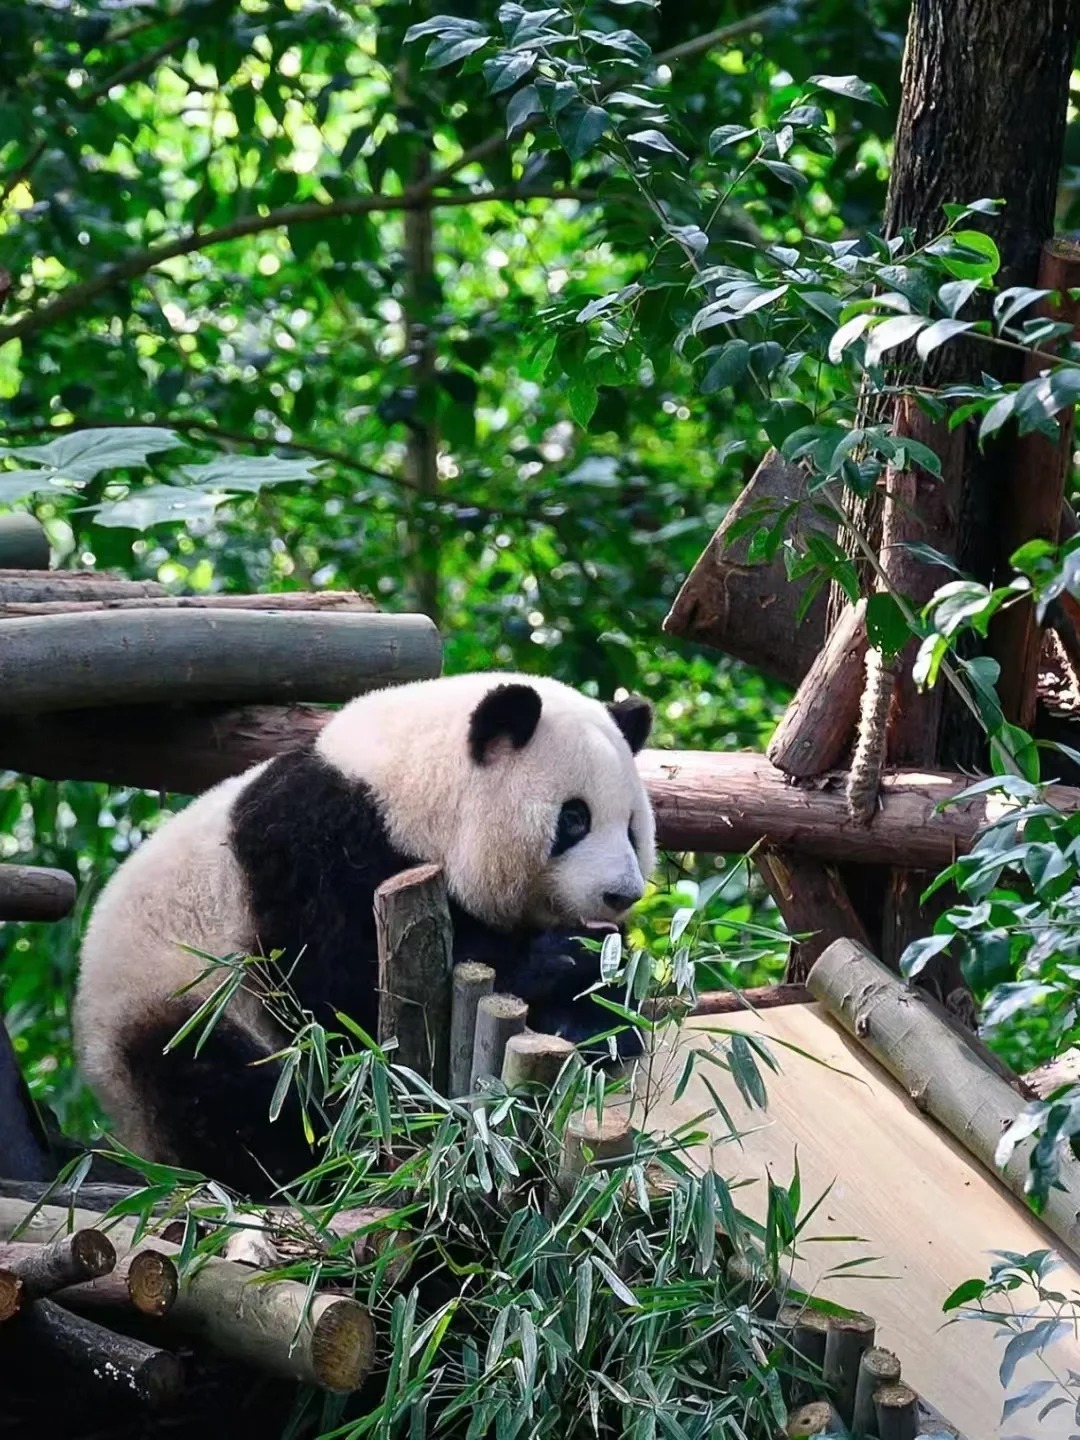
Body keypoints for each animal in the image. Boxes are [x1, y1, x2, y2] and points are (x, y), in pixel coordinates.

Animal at [74, 668, 659, 1198]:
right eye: (575, 819)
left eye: (632, 827)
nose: (621, 894)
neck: (402, 791)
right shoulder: (310, 849)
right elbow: (343, 992)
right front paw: (555, 961)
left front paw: (596, 1010)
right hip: (173, 1004)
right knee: (224, 1089)